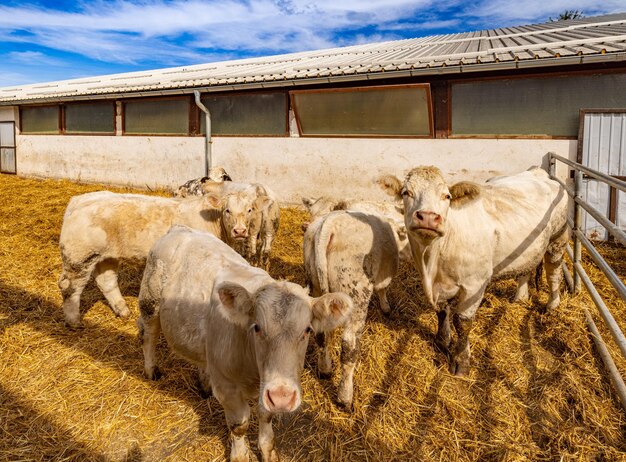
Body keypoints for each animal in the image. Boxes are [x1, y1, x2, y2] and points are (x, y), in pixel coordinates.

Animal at [138, 226, 352, 460]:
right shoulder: (227, 389)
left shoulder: (267, 385)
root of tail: (179, 229)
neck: (252, 369)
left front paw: (268, 452)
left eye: (307, 330)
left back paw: (204, 383)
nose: (282, 397)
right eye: (257, 327)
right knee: (149, 336)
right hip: (150, 302)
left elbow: (266, 416)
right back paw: (151, 370)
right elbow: (239, 425)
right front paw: (240, 455)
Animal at [304, 209, 408, 408]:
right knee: (349, 346)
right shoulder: (385, 273)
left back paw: (325, 369)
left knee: (321, 334)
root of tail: (331, 223)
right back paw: (345, 397)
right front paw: (386, 308)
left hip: (315, 285)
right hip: (356, 295)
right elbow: (383, 290)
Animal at [378, 166, 568, 376]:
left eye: (447, 196)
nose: (427, 217)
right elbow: (442, 312)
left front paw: (461, 363)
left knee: (554, 272)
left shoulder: (474, 285)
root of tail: (538, 171)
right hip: (527, 248)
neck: (432, 263)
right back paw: (520, 297)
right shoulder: (439, 287)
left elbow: (463, 323)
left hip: (558, 239)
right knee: (525, 270)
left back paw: (552, 304)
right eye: (406, 193)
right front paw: (442, 342)